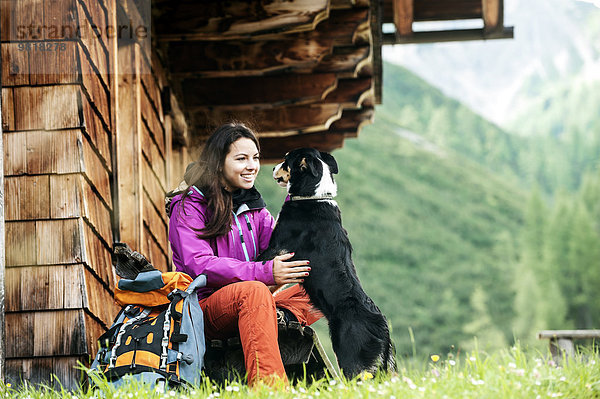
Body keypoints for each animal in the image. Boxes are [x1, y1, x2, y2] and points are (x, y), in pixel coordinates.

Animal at [258, 148, 396, 380]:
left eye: (286, 160)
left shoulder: (278, 248)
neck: (313, 197)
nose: (273, 167)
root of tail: (383, 326)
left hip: (353, 362)